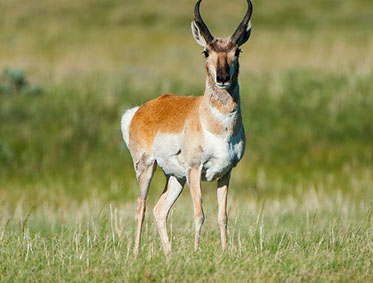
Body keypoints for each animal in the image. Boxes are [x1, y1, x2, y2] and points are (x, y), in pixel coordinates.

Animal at [121, 0, 253, 255]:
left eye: (237, 51)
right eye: (206, 51)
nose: (222, 78)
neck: (216, 127)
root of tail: (142, 109)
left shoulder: (226, 172)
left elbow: (223, 216)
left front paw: (224, 251)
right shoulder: (194, 170)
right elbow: (199, 213)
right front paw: (196, 251)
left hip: (175, 177)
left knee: (159, 210)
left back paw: (169, 254)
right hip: (146, 168)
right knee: (141, 207)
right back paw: (136, 253)